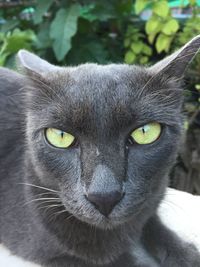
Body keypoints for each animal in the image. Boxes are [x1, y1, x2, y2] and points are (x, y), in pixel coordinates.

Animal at [0, 36, 200, 267]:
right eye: (60, 136)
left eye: (145, 132)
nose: (104, 196)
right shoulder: (53, 252)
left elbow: (151, 220)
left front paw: (186, 255)